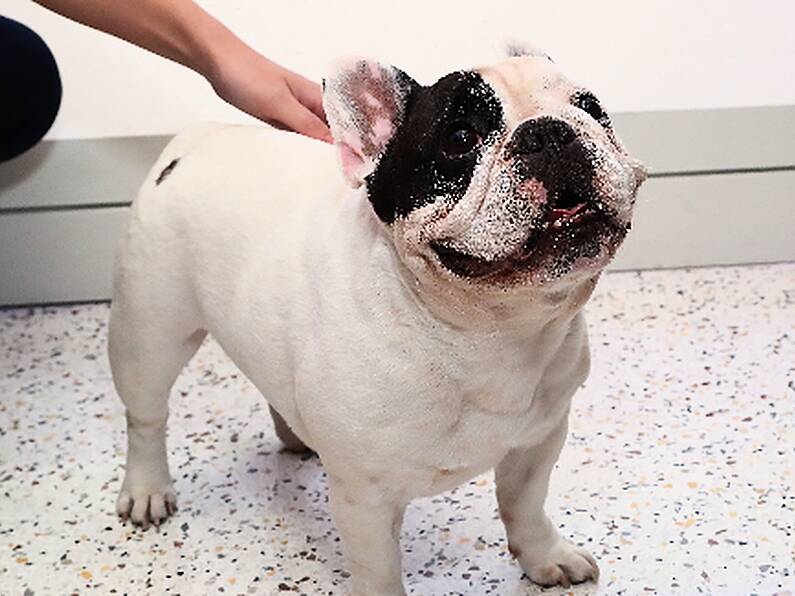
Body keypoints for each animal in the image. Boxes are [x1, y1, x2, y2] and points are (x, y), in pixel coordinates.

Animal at [109, 44, 648, 592]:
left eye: (593, 109)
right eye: (460, 138)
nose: (549, 131)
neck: (485, 334)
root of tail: (195, 140)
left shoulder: (537, 442)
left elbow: (525, 506)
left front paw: (545, 557)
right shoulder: (366, 499)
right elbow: (381, 570)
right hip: (151, 329)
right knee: (146, 414)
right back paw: (148, 488)